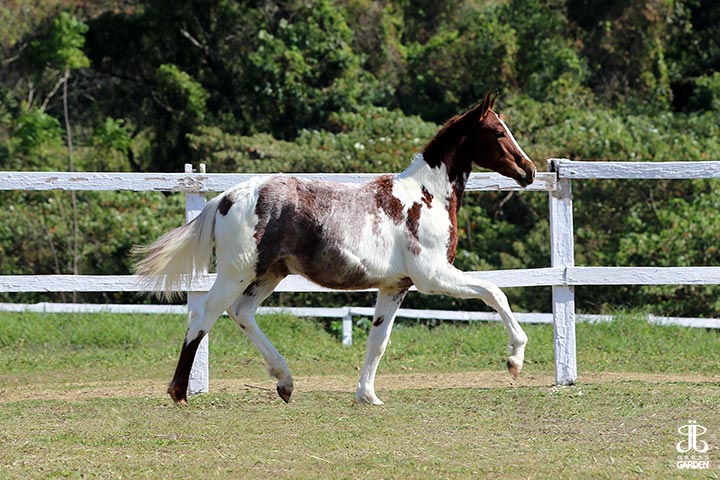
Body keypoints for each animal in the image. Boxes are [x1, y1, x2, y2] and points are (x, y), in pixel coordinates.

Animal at [133, 93, 536, 406]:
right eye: (498, 132)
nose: (529, 171)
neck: (426, 197)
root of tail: (225, 198)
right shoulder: (433, 276)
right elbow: (494, 292)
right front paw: (515, 358)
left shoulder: (395, 286)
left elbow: (378, 341)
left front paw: (367, 396)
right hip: (238, 272)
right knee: (203, 317)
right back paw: (180, 393)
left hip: (270, 273)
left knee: (241, 312)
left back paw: (285, 382)